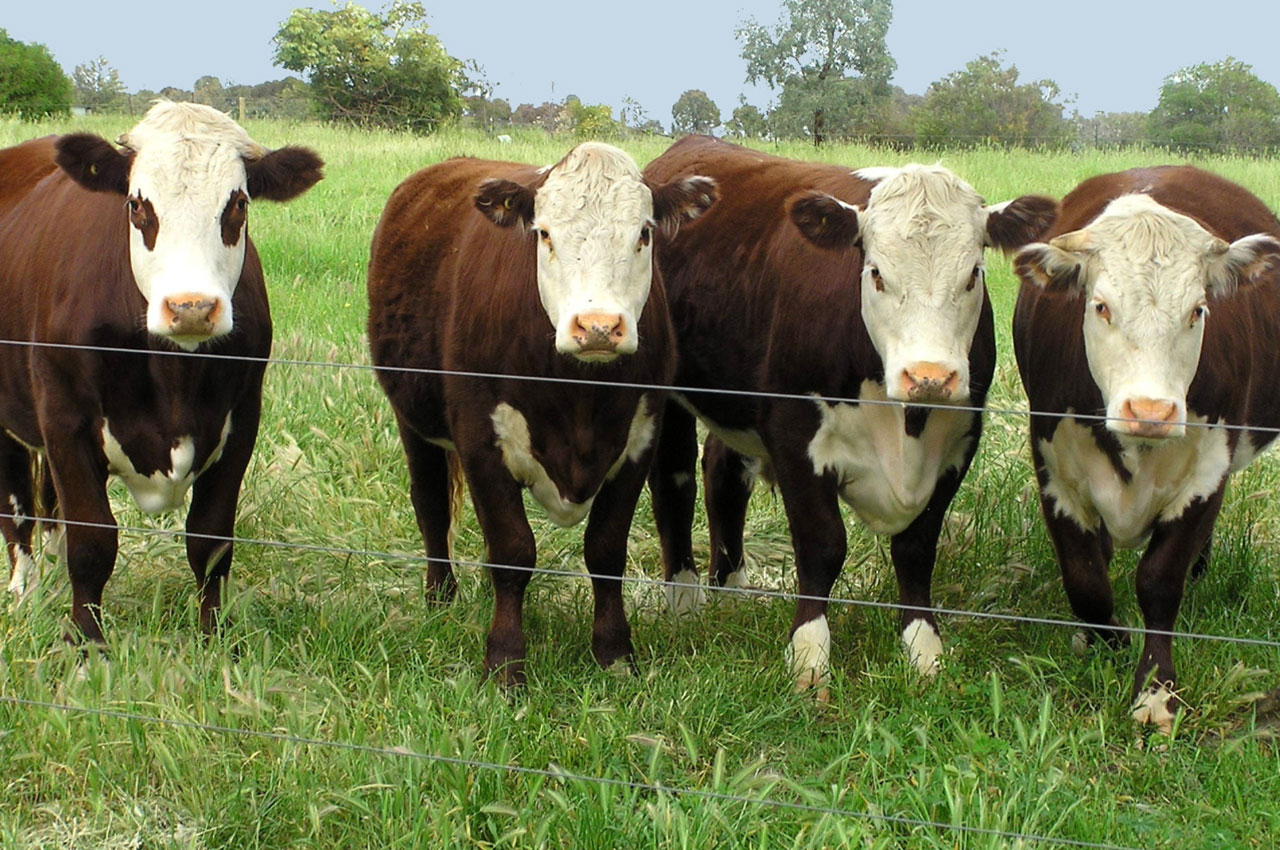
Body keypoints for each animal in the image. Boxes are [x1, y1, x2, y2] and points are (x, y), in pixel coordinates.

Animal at [0, 101, 325, 645]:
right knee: (19, 508)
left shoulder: (241, 421)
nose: (191, 308)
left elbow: (210, 541)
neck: (174, 375)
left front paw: (214, 639)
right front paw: (88, 644)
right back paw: (25, 593)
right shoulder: (65, 421)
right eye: (137, 205)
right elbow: (92, 543)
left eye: (238, 204)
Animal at [366, 140, 716, 686]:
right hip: (412, 420)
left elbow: (606, 550)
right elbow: (512, 552)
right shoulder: (480, 441)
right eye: (545, 233)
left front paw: (615, 654)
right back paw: (440, 597)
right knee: (430, 503)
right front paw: (505, 662)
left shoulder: (639, 441)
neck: (579, 395)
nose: (598, 326)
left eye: (643, 233)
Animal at [645, 136, 1054, 696]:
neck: (904, 424)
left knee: (724, 473)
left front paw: (924, 650)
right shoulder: (794, 432)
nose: (929, 375)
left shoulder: (959, 440)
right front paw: (809, 655)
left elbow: (916, 546)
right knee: (675, 481)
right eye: (876, 273)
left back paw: (730, 588)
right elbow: (822, 545)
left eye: (974, 274)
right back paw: (685, 599)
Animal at [1008, 166, 1280, 732]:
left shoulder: (1208, 473)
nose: (1151, 410)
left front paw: (1155, 691)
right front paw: (1106, 640)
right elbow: (1086, 581)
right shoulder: (1055, 470)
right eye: (1101, 307)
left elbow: (1159, 582)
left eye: (1198, 310)